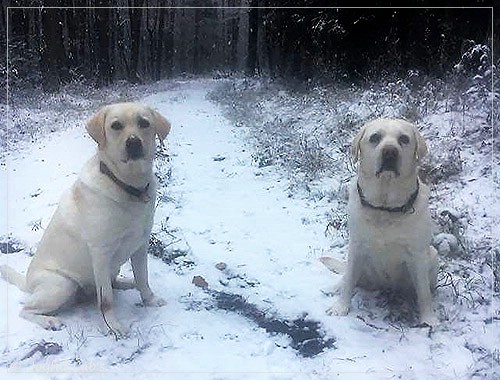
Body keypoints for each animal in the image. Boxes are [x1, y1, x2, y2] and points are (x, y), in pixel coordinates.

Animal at [0, 103, 171, 336]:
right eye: (116, 126)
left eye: (144, 123)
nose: (133, 142)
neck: (128, 187)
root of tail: (28, 282)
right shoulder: (100, 253)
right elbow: (106, 300)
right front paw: (113, 327)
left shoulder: (140, 245)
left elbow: (143, 278)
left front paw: (150, 300)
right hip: (62, 285)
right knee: (26, 309)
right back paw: (49, 321)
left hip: (108, 270)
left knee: (114, 283)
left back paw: (126, 283)